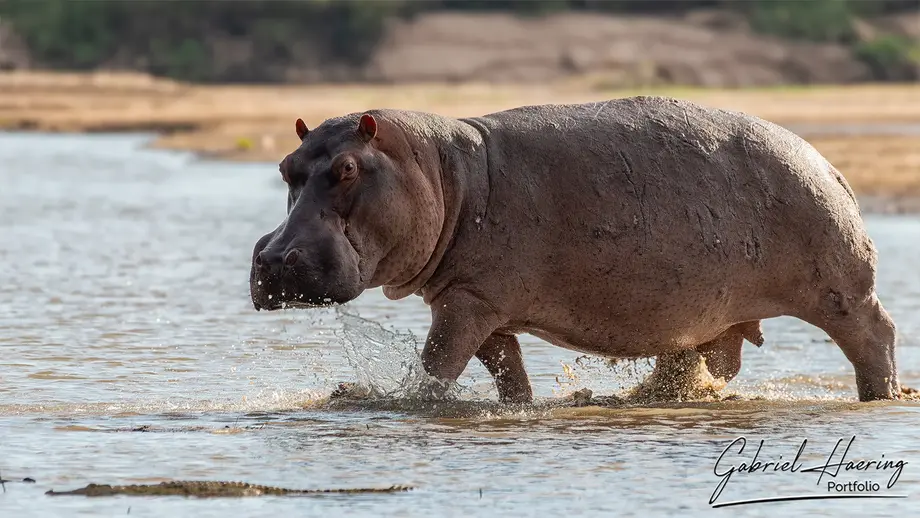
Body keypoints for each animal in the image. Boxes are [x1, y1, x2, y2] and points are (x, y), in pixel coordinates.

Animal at [250, 96, 900, 403]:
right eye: (285, 166)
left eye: (348, 168)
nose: (276, 258)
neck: (440, 168)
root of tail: (828, 164)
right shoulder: (480, 302)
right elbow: (506, 372)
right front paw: (519, 404)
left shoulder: (468, 301)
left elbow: (438, 365)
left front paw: (409, 400)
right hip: (700, 315)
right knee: (690, 362)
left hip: (842, 291)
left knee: (876, 337)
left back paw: (880, 397)